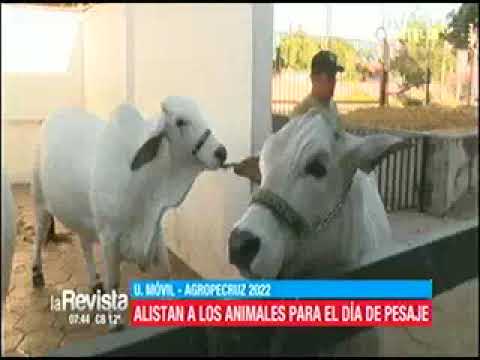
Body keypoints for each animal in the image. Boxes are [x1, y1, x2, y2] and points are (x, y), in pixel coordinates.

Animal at [32, 95, 228, 300]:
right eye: (180, 121)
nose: (221, 152)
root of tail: (51, 117)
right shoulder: (109, 239)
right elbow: (113, 285)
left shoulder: (155, 233)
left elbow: (166, 273)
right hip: (40, 202)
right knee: (39, 235)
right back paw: (37, 272)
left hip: (81, 216)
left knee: (85, 246)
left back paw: (94, 282)